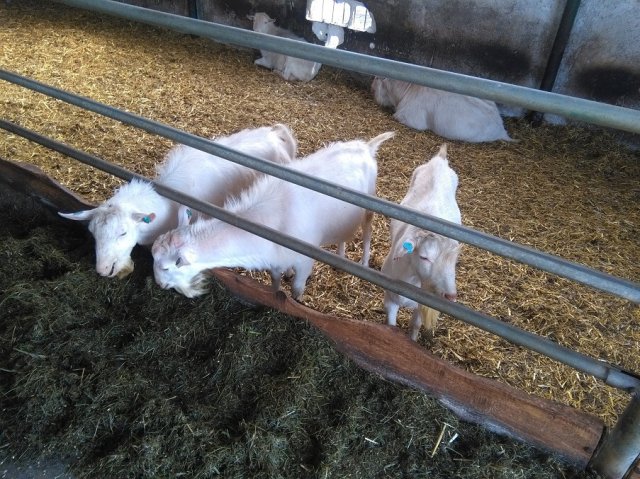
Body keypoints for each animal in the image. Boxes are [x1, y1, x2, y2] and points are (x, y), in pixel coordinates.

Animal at [151, 131, 395, 299]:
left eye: (166, 267)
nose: (160, 285)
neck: (272, 221)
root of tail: (366, 146)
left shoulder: (304, 260)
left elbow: (296, 288)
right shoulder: (275, 259)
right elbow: (276, 282)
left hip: (370, 204)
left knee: (367, 230)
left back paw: (364, 261)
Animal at [381, 144, 462, 340]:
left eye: (454, 261)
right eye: (424, 257)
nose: (451, 296)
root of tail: (440, 160)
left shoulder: (420, 305)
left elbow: (416, 325)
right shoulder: (390, 299)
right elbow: (391, 325)